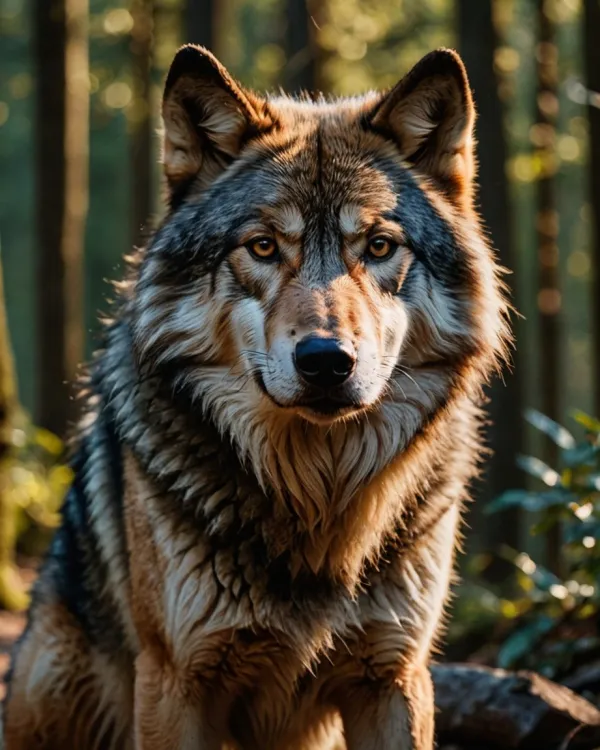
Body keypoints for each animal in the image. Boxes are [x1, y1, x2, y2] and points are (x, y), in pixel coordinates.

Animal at [3, 45, 508, 749]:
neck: (317, 504)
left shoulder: (394, 676)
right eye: (263, 246)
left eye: (379, 246)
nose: (327, 361)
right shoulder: (176, 681)